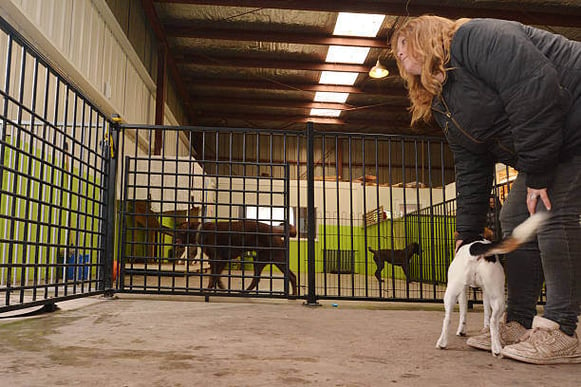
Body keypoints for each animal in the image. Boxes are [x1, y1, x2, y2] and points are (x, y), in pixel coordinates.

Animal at [438, 212, 548, 358]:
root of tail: (477, 248)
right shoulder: (485, 292)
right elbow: (486, 312)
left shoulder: (463, 291)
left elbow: (463, 312)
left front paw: (461, 330)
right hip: (497, 297)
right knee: (491, 321)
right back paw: (496, 349)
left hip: (453, 291)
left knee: (447, 318)